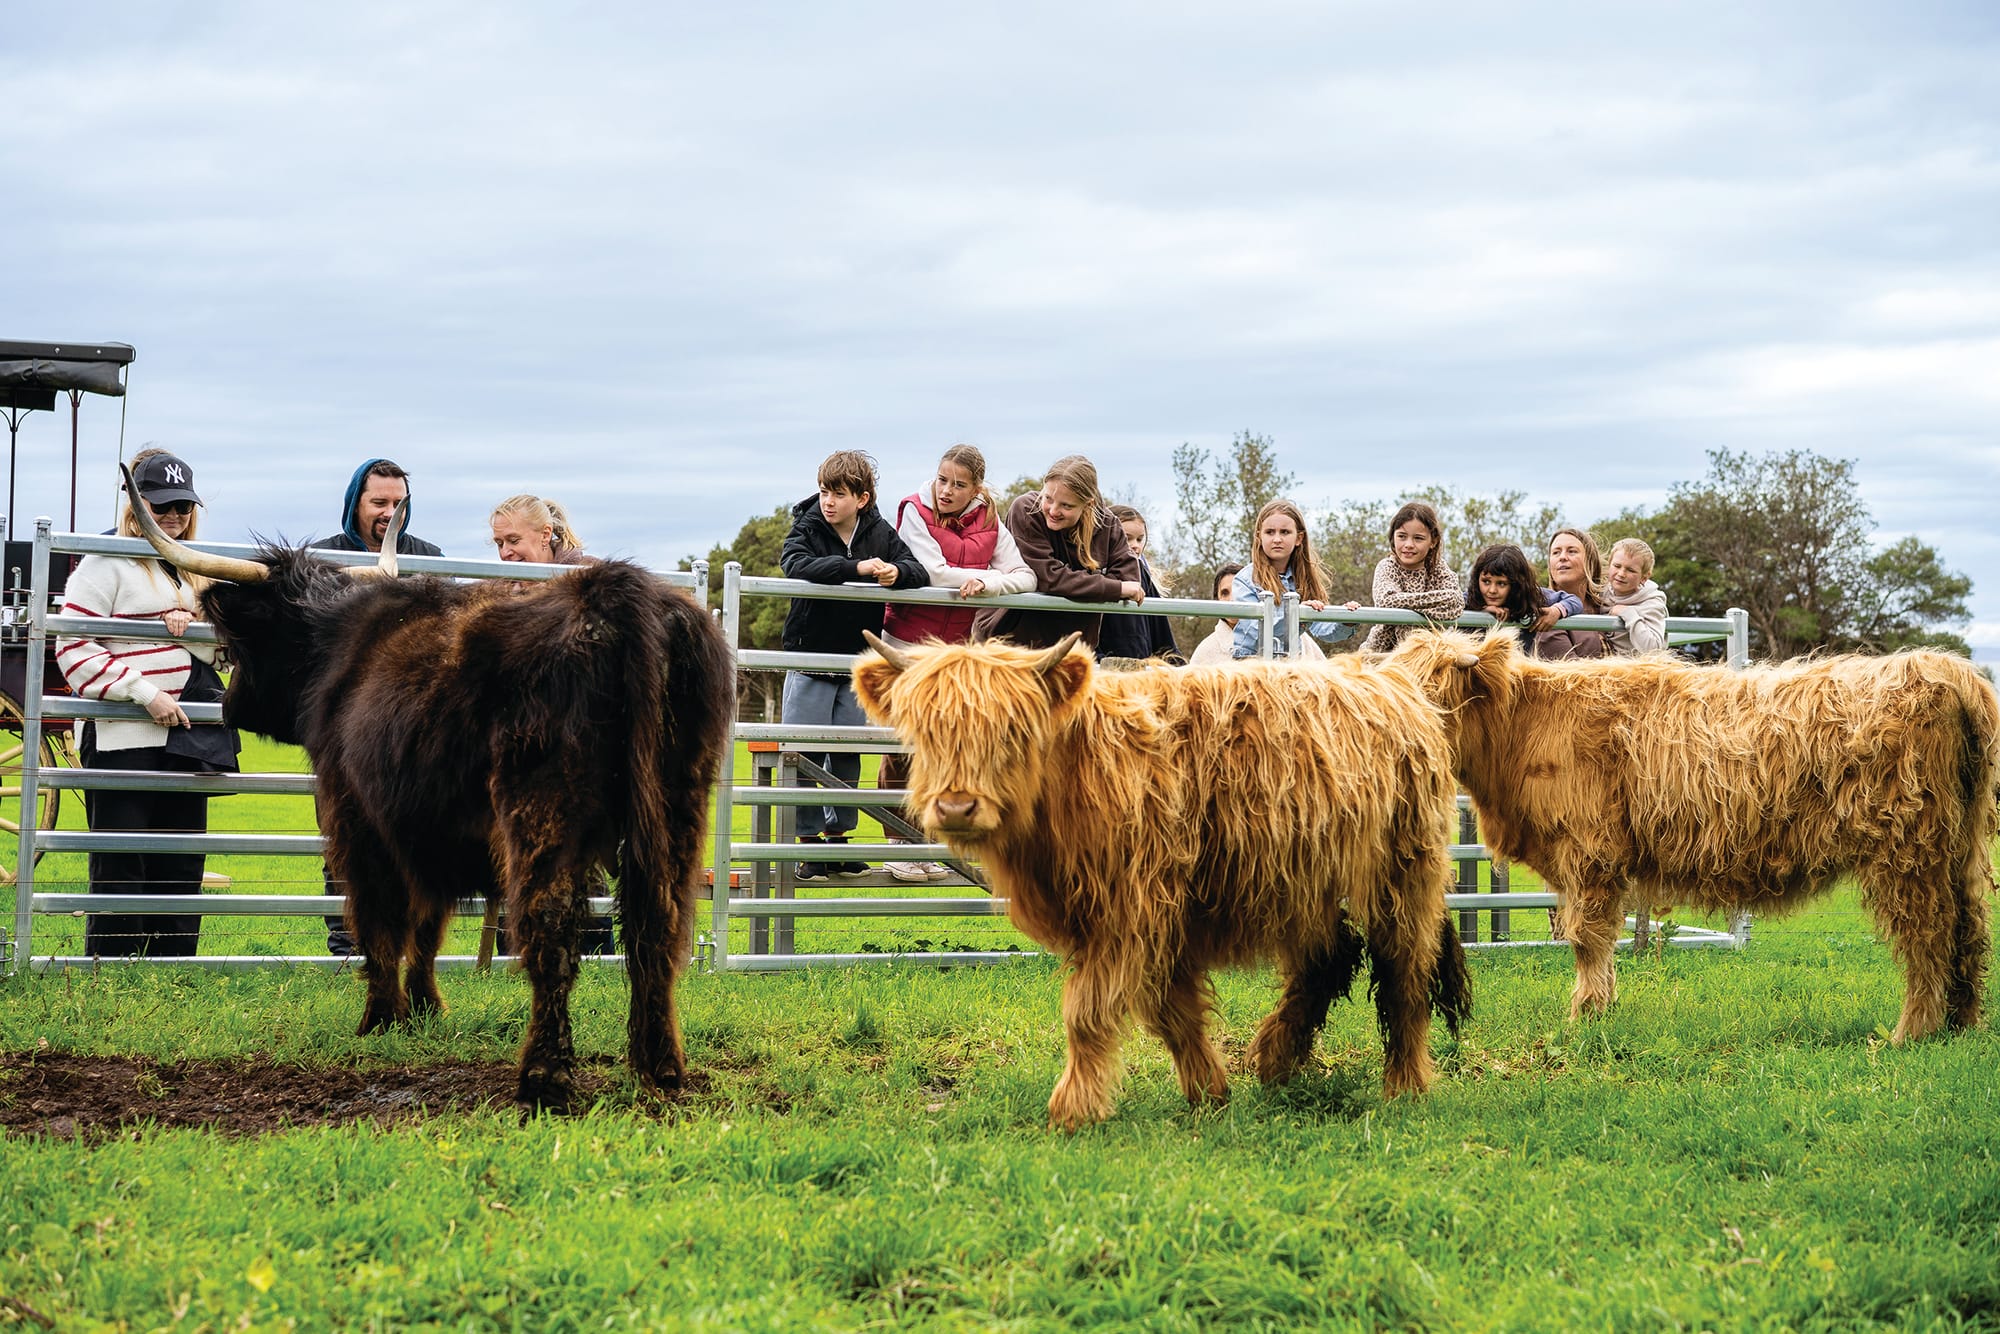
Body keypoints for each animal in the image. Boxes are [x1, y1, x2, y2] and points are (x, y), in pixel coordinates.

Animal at [128, 479, 734, 1111]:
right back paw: (661, 1070)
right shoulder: (427, 831)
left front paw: (379, 1018)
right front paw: (424, 1010)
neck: (339, 645)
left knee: (552, 930)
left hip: (543, 810)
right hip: (676, 808)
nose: (230, 705)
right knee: (656, 926)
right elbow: (428, 925)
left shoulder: (357, 820)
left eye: (246, 638)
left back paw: (543, 1080)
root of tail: (616, 594)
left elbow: (379, 921)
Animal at [853, 631, 1471, 1130]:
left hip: (1402, 872)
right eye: (926, 731)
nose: (956, 807)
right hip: (1303, 882)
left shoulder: (1131, 909)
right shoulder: (1163, 915)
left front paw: (1073, 1110)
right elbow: (1172, 1012)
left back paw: (1404, 1087)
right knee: (1330, 958)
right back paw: (1274, 1060)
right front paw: (1210, 1092)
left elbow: (1088, 1012)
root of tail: (1393, 679)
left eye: (1013, 731)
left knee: (1402, 973)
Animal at [1388, 629, 2000, 1042]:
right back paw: (1962, 1025)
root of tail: (1941, 667)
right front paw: (1601, 1010)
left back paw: (1909, 1033)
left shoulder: (1590, 854)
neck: (1520, 730)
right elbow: (1598, 941)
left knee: (1927, 936)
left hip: (1909, 851)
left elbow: (1588, 939)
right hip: (1960, 850)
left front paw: (1584, 1016)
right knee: (1969, 930)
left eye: (1432, 689)